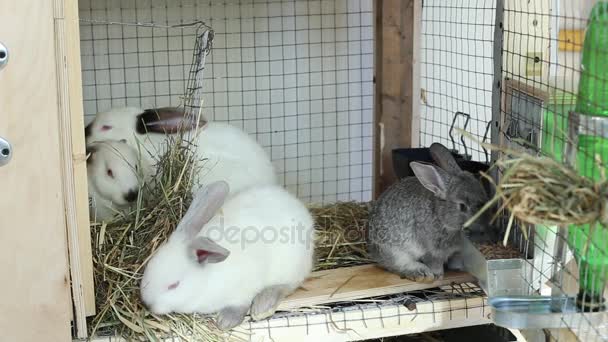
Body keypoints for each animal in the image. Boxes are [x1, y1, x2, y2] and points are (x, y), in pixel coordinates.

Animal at [140, 180, 316, 330]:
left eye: (174, 285)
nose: (148, 304)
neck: (206, 281)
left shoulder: (245, 285)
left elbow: (240, 303)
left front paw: (225, 321)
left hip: (291, 265)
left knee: (286, 286)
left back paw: (263, 305)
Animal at [368, 143, 492, 282]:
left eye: (485, 198)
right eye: (462, 206)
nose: (482, 227)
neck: (441, 218)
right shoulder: (432, 251)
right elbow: (434, 262)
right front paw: (438, 275)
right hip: (394, 251)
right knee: (397, 265)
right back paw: (421, 273)